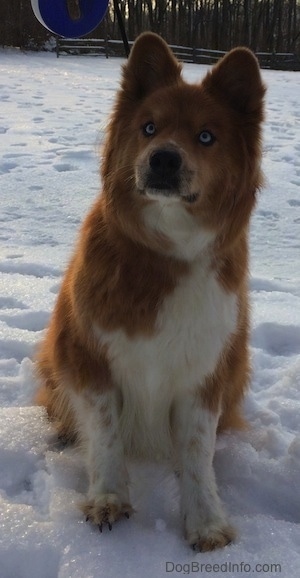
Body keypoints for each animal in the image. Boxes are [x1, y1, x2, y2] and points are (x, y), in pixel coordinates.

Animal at [35, 33, 264, 552]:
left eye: (206, 137)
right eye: (149, 128)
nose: (163, 158)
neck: (167, 254)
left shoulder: (205, 370)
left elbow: (198, 451)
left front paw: (206, 520)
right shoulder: (86, 355)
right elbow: (105, 434)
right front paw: (108, 497)